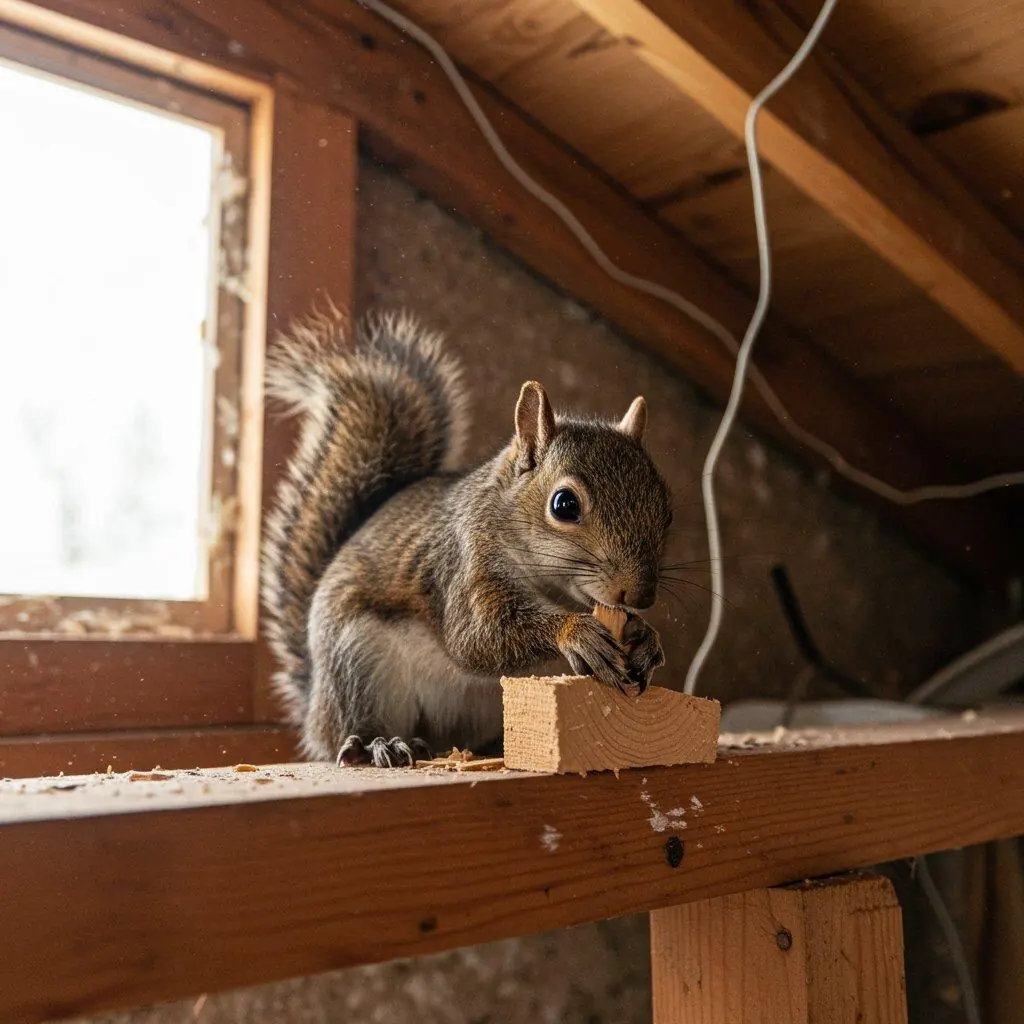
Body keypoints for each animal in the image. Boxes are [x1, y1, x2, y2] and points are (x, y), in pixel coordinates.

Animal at [262, 307, 673, 767]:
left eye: (666, 507)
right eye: (564, 505)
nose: (640, 595)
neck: (549, 583)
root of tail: (314, 707)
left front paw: (644, 638)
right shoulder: (463, 563)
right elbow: (476, 637)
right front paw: (575, 632)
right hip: (358, 664)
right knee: (351, 729)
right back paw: (379, 744)